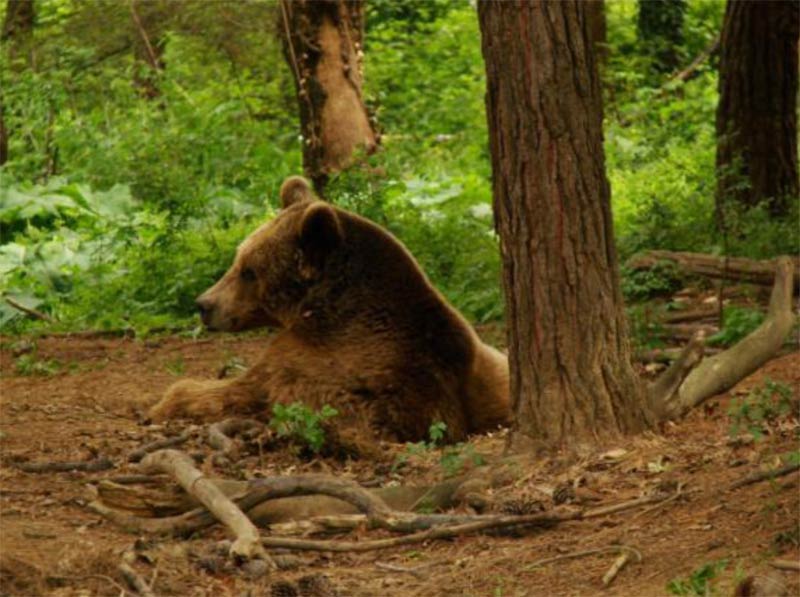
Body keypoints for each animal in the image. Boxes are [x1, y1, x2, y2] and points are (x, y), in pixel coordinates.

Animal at [148, 177, 512, 442]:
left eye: (249, 271)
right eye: (238, 259)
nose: (204, 304)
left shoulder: (314, 364)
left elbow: (237, 389)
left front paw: (162, 403)